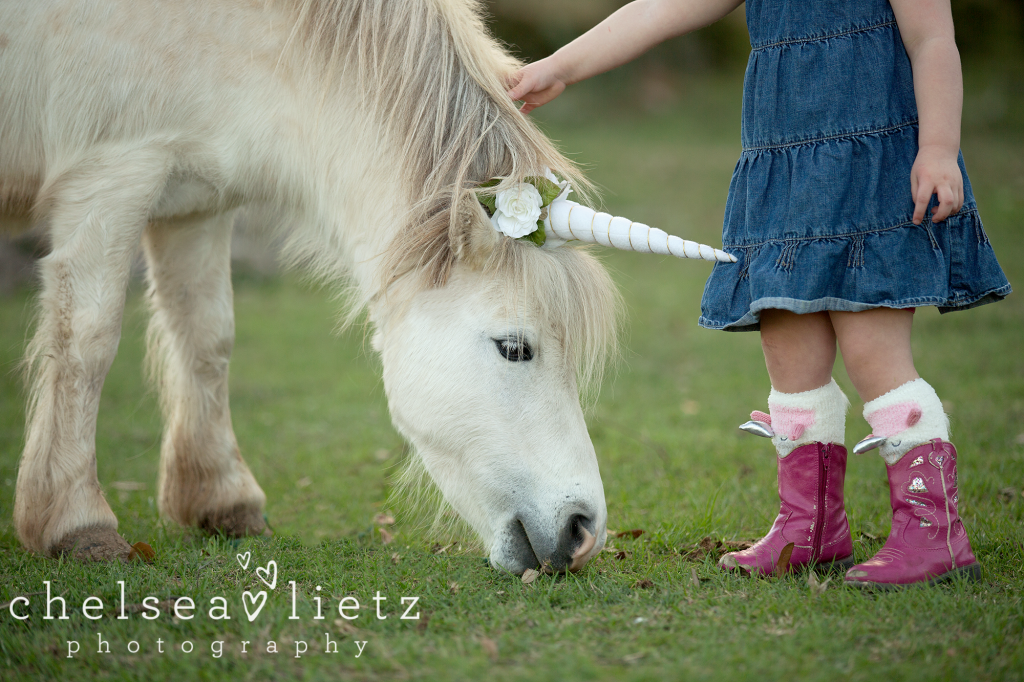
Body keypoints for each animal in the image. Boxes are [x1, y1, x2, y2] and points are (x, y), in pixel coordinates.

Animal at [2, 0, 729, 569]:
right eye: (515, 348)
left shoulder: (195, 204)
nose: (584, 532)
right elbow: (89, 342)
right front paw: (77, 525)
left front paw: (222, 501)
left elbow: (206, 338)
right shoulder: (111, 177)